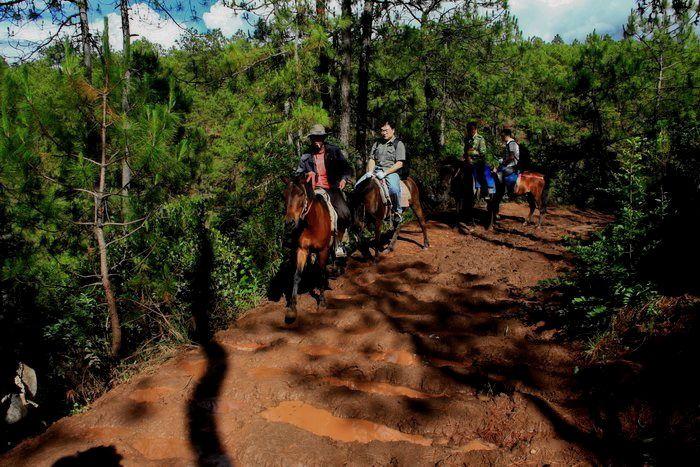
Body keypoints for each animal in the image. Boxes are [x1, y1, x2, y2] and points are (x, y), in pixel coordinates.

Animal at [282, 177, 342, 324]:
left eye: (300, 194)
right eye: (284, 196)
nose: (290, 223)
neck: (312, 224)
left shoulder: (323, 251)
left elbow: (321, 273)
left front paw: (322, 301)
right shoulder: (302, 250)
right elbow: (297, 276)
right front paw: (292, 309)